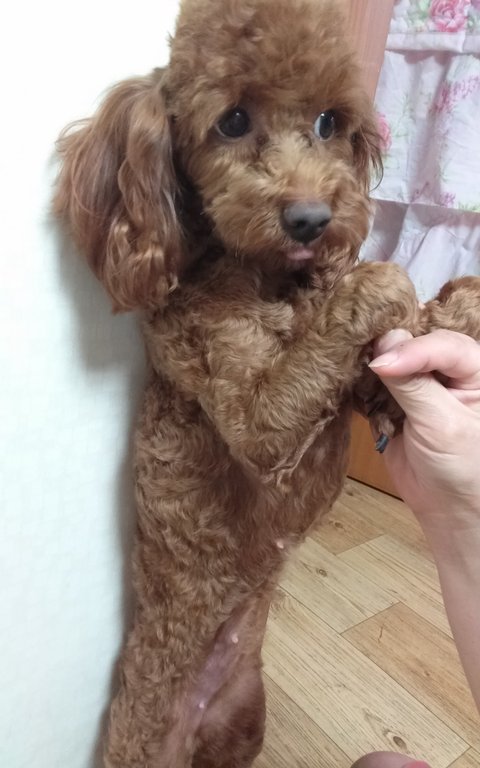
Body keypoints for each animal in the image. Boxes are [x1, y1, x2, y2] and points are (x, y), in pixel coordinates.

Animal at [54, 0, 480, 765]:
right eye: (231, 121)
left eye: (329, 123)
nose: (312, 220)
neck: (269, 277)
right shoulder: (256, 417)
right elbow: (352, 312)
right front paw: (382, 285)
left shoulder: (353, 384)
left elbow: (380, 360)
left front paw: (457, 309)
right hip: (146, 742)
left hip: (245, 720)